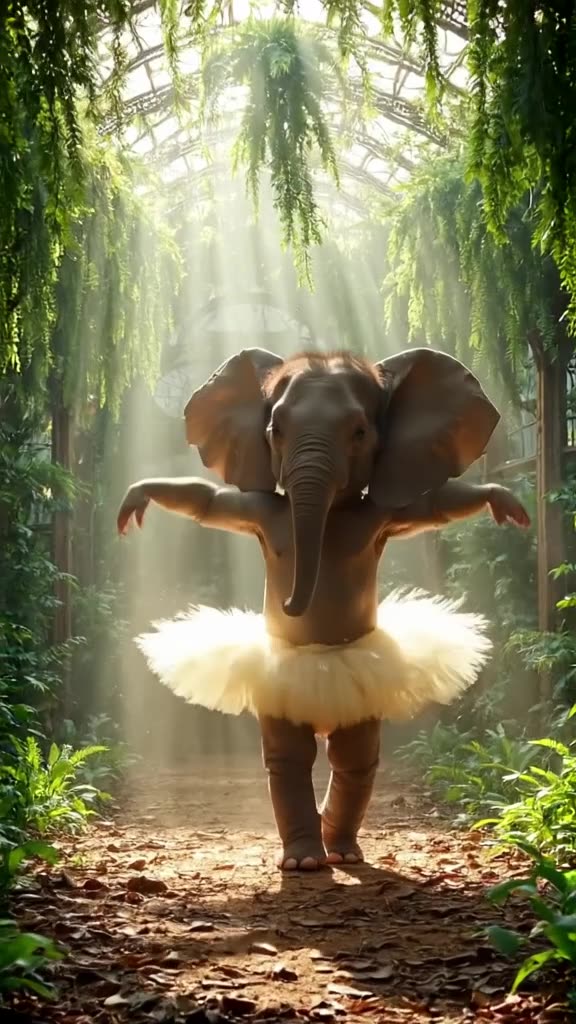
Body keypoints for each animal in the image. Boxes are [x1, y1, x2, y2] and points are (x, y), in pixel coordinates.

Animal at [118, 346, 530, 870]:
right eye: (275, 430)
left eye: (359, 432)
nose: (290, 606)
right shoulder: (259, 508)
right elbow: (210, 502)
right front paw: (139, 496)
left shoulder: (384, 512)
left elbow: (434, 506)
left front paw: (502, 500)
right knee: (289, 757)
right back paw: (304, 858)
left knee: (353, 757)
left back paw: (342, 849)